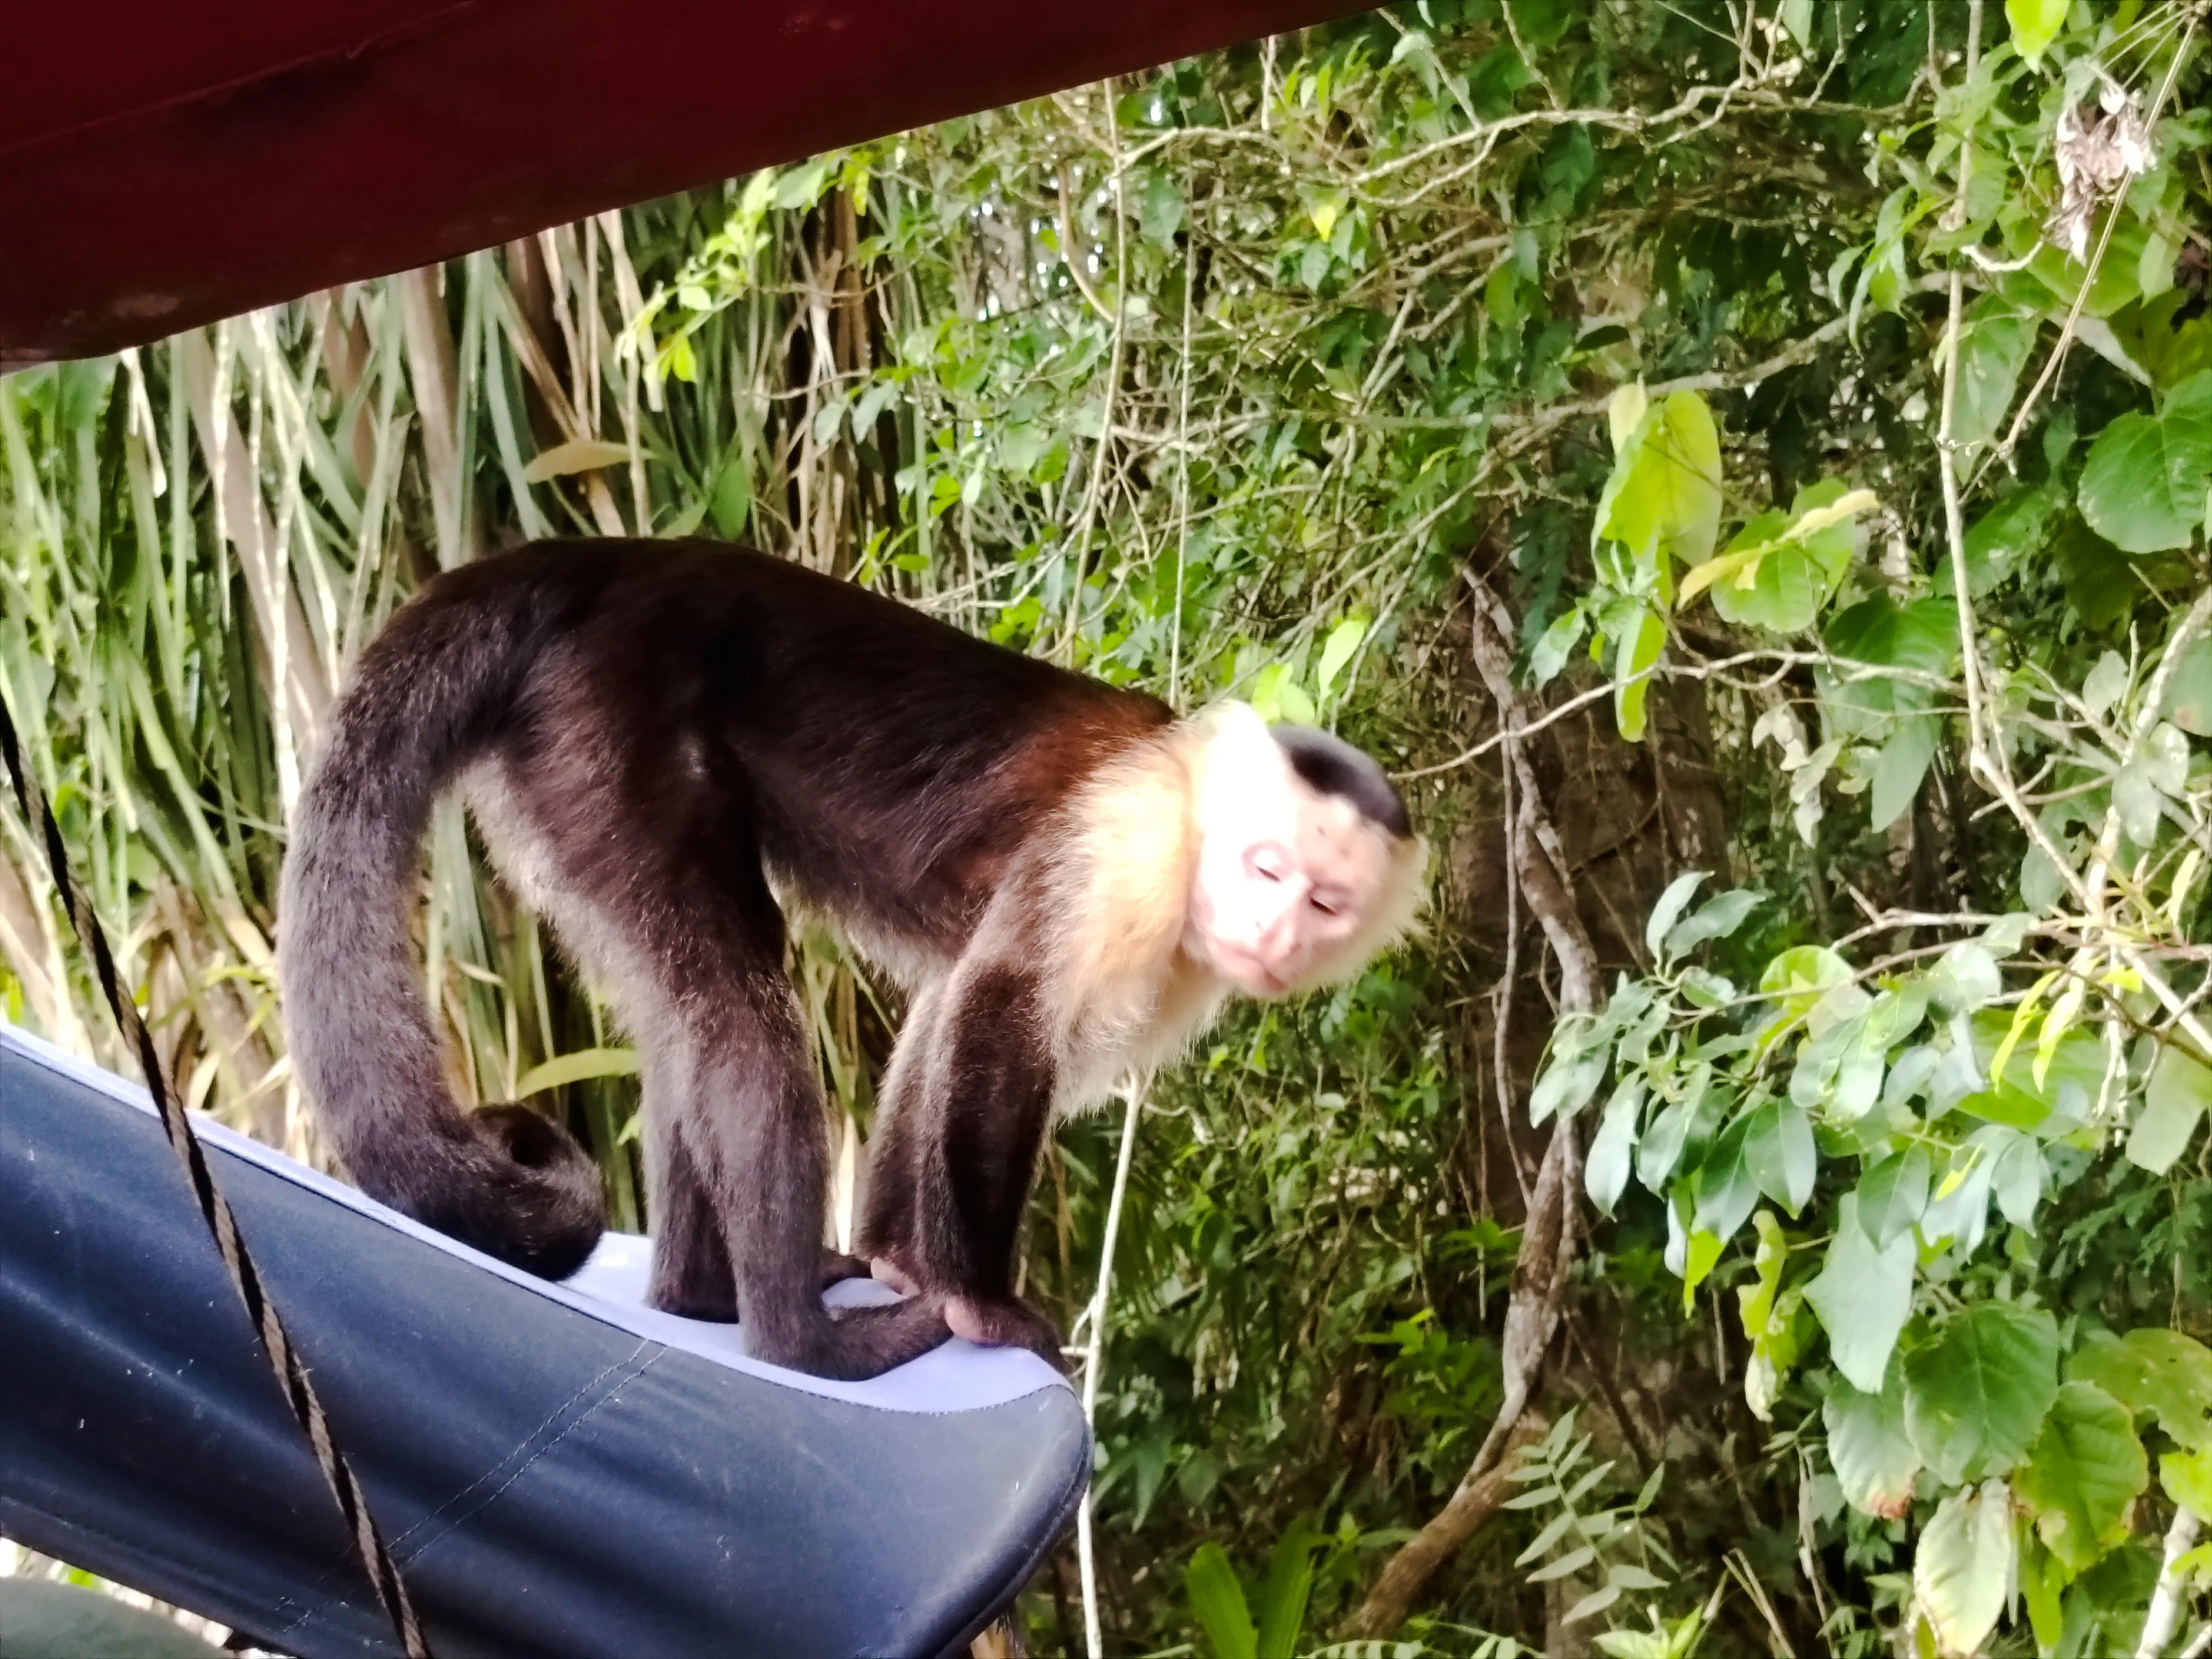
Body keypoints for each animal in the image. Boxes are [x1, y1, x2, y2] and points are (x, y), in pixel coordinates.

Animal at [279, 538, 1424, 1381]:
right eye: (1267, 868)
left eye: (1323, 902)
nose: (1275, 935)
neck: (1194, 822)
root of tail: (600, 561)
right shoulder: (1130, 843)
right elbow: (1000, 1007)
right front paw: (979, 1300)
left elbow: (948, 1007)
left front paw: (902, 1257)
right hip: (604, 721)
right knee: (740, 1007)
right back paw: (798, 1342)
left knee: (684, 1013)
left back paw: (698, 1295)